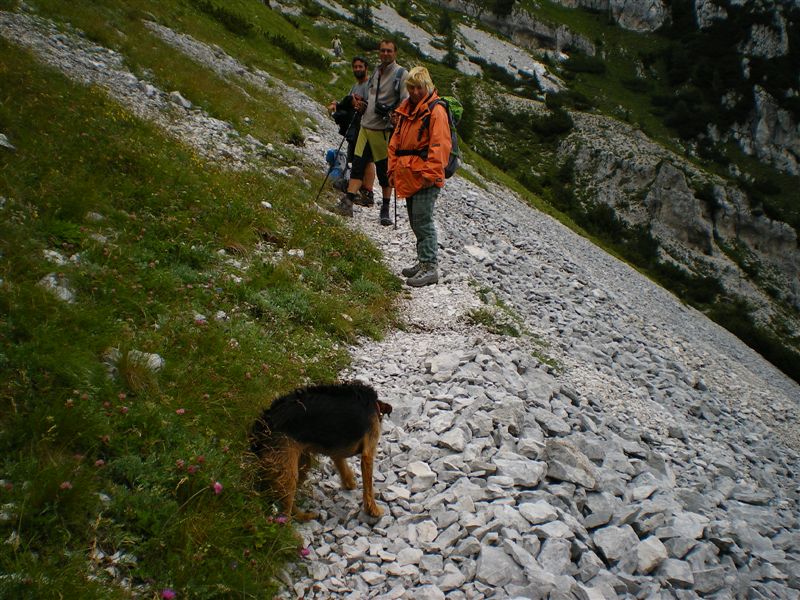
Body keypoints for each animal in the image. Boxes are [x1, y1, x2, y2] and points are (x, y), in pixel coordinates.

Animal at [247, 384, 390, 520]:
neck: (375, 406)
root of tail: (263, 424)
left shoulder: (336, 450)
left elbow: (343, 467)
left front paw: (349, 483)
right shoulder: (368, 454)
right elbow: (369, 487)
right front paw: (373, 510)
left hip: (300, 463)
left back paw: (303, 516)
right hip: (288, 470)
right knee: (285, 513)